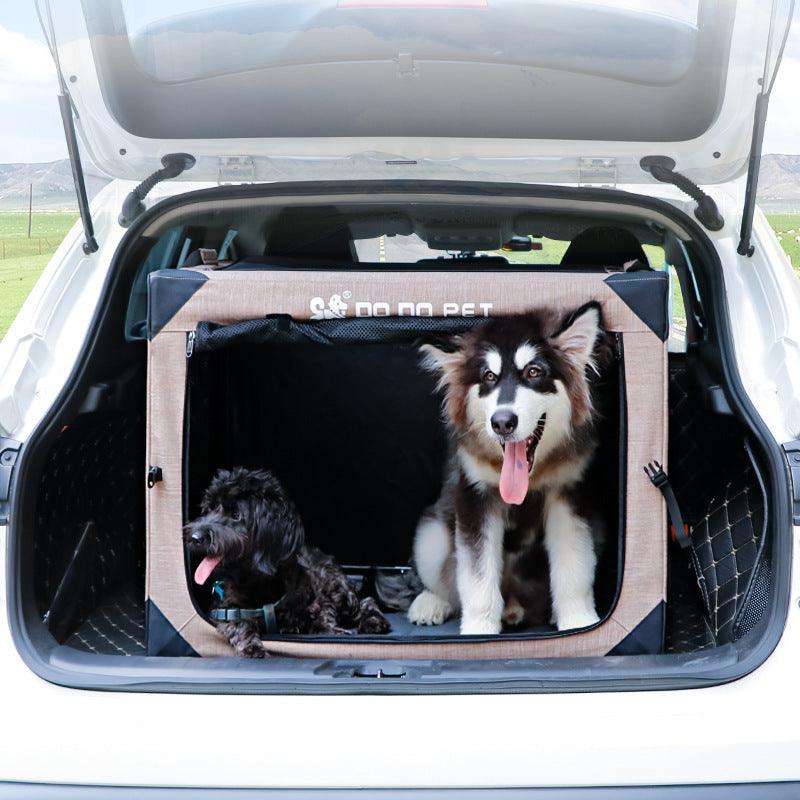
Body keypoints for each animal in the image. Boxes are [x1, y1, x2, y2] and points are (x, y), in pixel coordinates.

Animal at [185, 466, 390, 660]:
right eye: (209, 509)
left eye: (236, 514)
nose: (194, 538)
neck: (258, 581)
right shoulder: (226, 608)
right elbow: (238, 625)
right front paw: (253, 648)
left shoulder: (318, 597)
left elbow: (322, 615)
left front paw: (331, 630)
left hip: (335, 587)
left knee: (366, 601)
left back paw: (374, 621)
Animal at [410, 304, 616, 636]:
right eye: (488, 376)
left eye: (533, 372)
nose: (502, 422)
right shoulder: (475, 497)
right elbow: (477, 576)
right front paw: (479, 630)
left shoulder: (568, 493)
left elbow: (574, 565)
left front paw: (579, 621)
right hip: (430, 536)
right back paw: (431, 603)